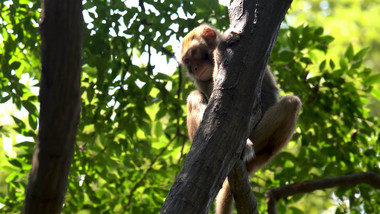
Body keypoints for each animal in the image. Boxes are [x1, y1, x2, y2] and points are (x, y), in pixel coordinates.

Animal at [180, 24, 302, 213]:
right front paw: (221, 48)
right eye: (187, 62)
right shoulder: (201, 81)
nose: (194, 68)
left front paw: (221, 47)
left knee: (291, 103)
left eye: (192, 54)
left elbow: (266, 98)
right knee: (194, 96)